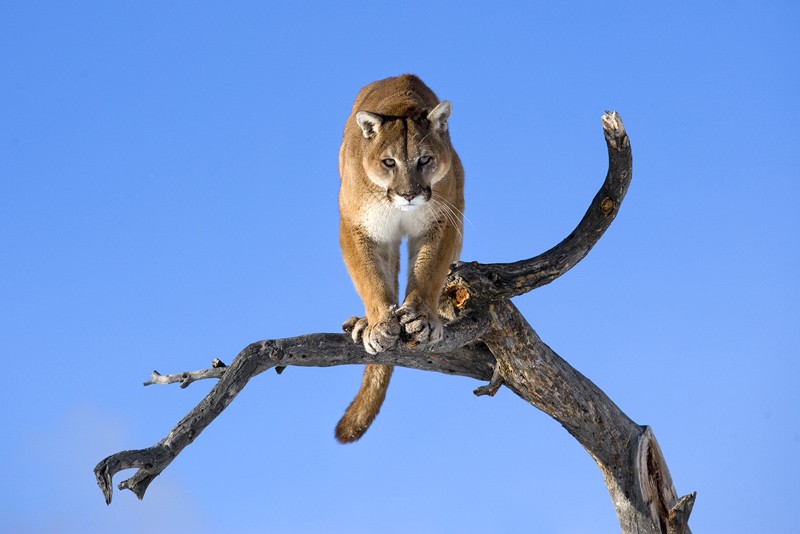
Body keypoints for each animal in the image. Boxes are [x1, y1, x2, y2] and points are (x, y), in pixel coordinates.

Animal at [336, 75, 462, 444]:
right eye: (389, 162)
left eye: (425, 160)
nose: (409, 194)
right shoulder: (357, 228)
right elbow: (370, 279)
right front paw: (378, 324)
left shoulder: (444, 217)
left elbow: (429, 270)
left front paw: (423, 317)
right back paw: (363, 323)